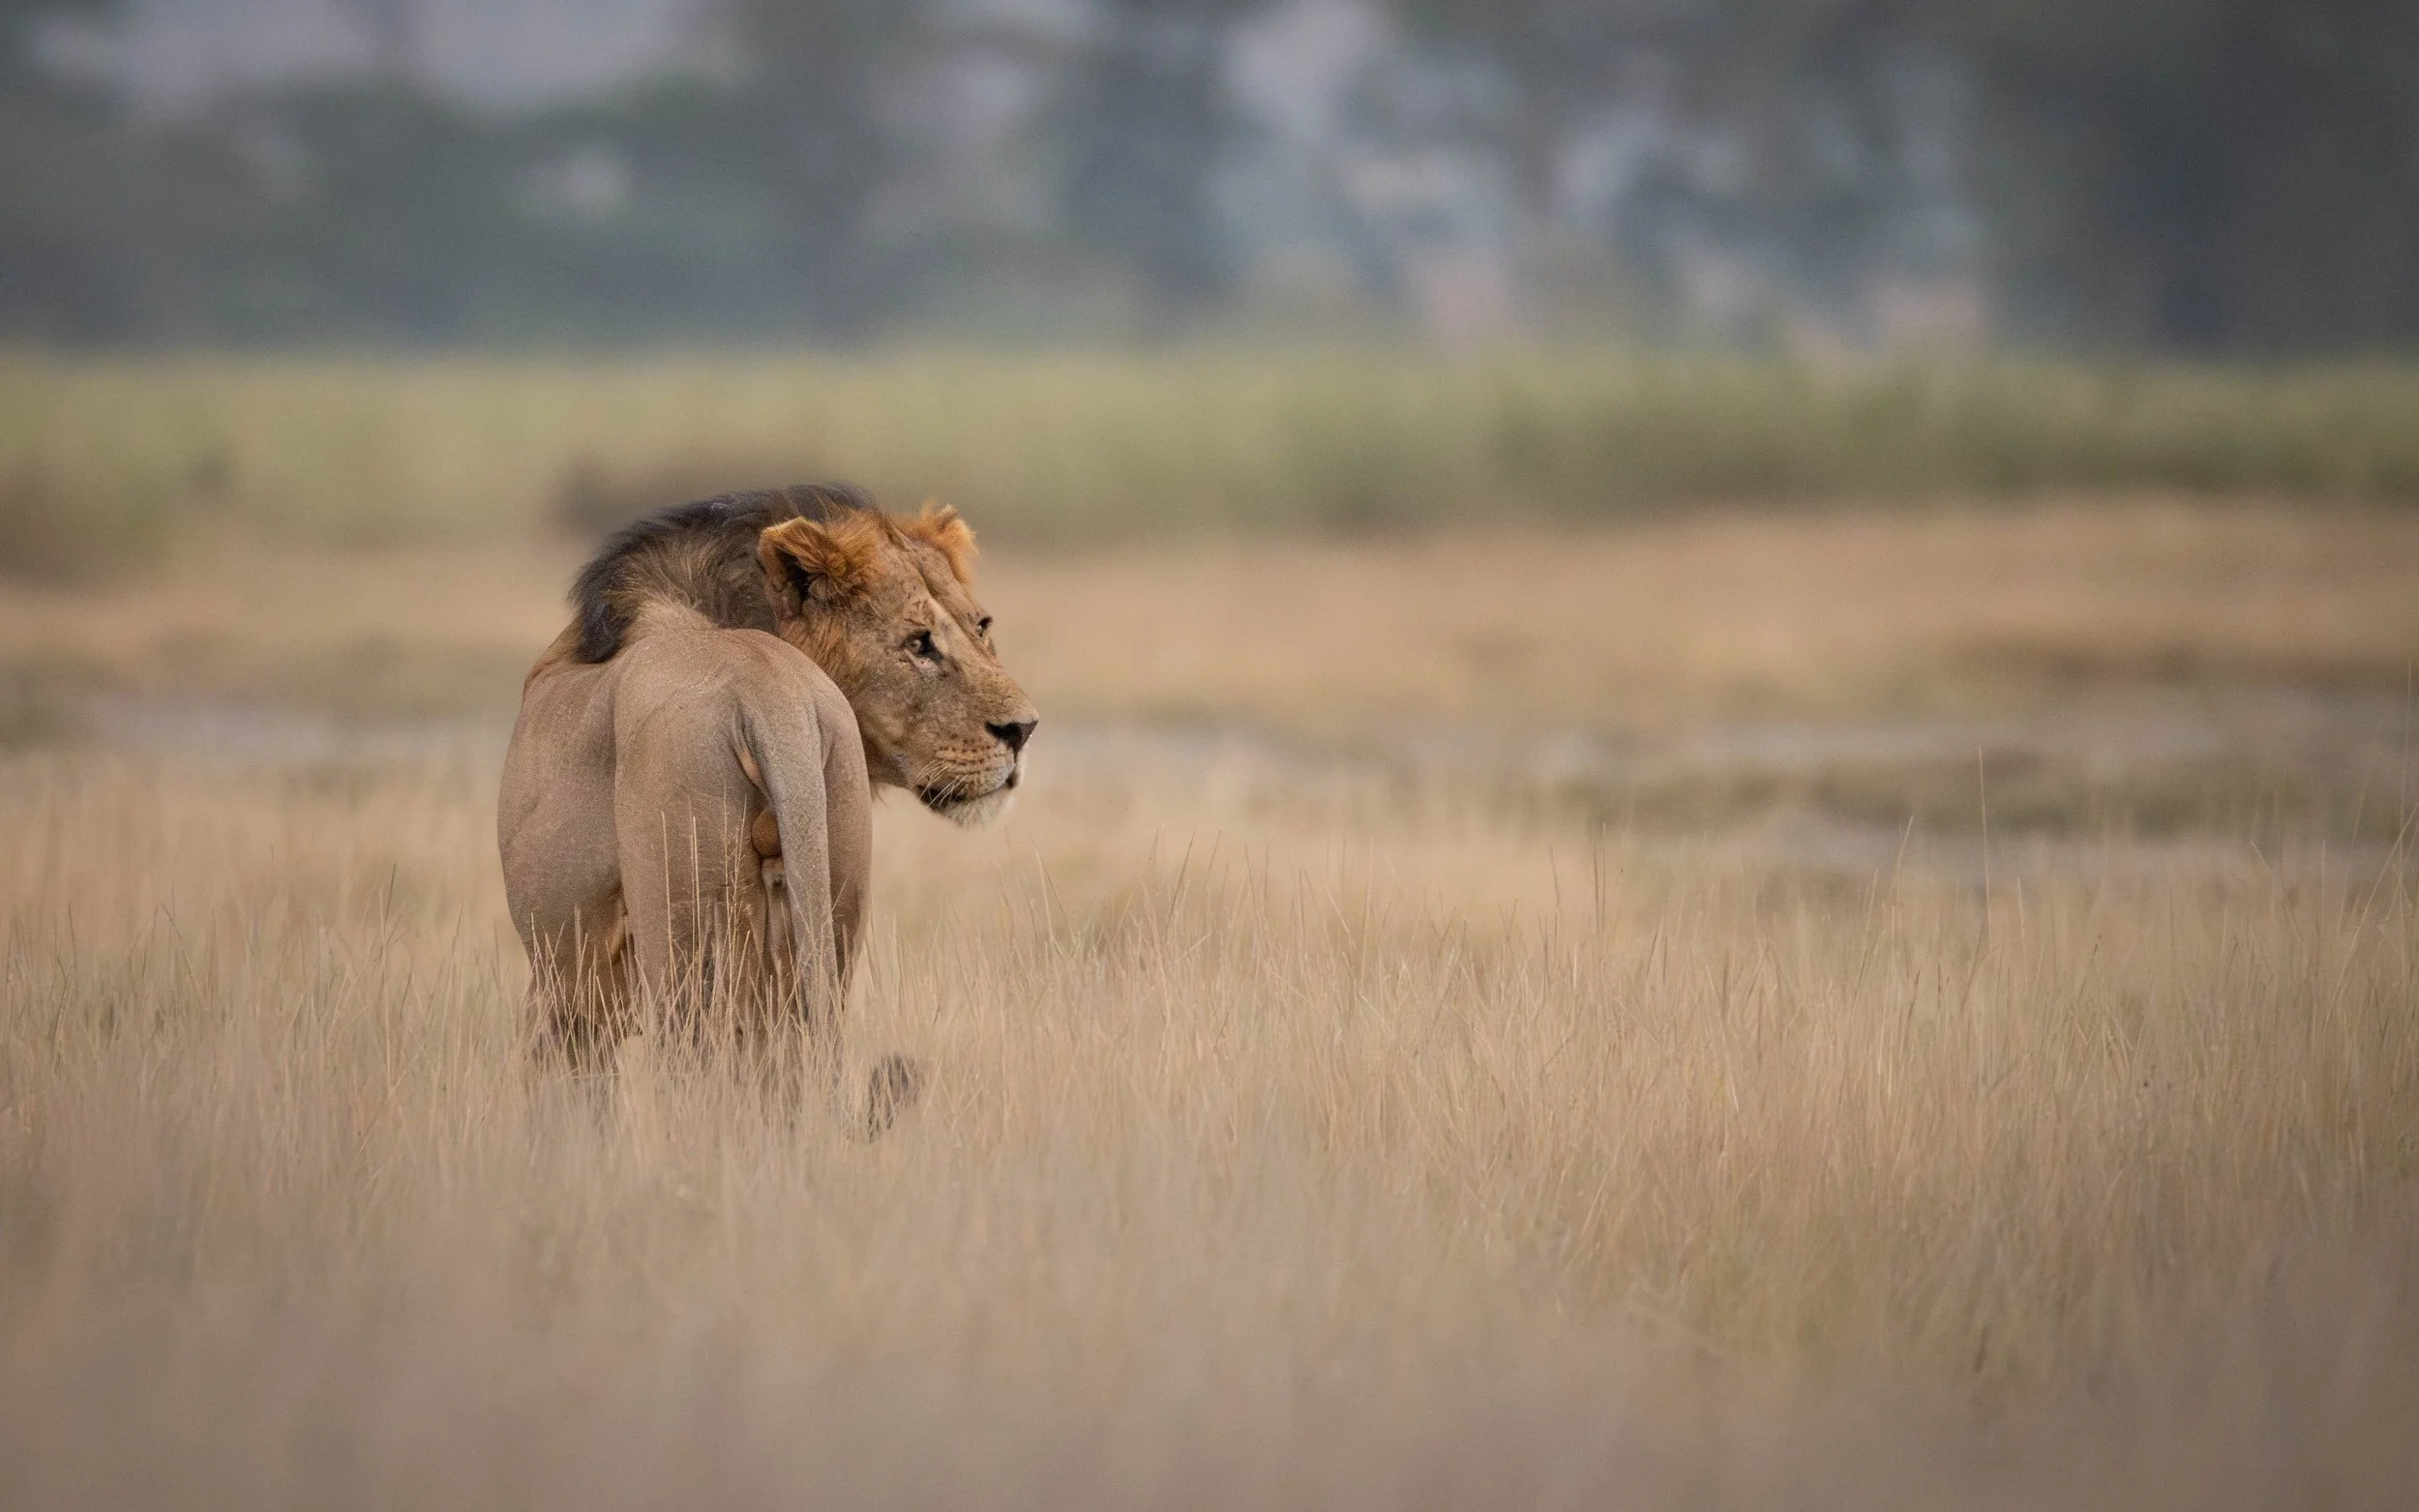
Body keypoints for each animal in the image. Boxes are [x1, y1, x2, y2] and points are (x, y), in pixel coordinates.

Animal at [496, 483, 1036, 1128]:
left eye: (980, 626)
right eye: (919, 643)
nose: (1023, 730)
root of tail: (771, 691)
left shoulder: (565, 989)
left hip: (688, 940)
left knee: (700, 1074)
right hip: (830, 905)